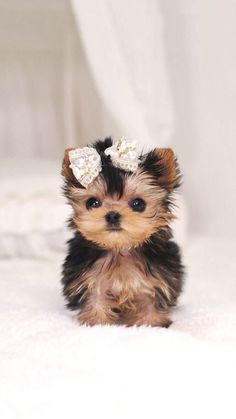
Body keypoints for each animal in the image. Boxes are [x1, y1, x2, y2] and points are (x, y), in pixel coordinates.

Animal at [60, 138, 184, 328]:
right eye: (93, 203)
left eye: (138, 204)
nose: (112, 215)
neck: (120, 249)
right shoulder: (90, 280)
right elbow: (96, 300)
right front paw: (96, 322)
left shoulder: (155, 280)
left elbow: (149, 301)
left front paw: (151, 323)